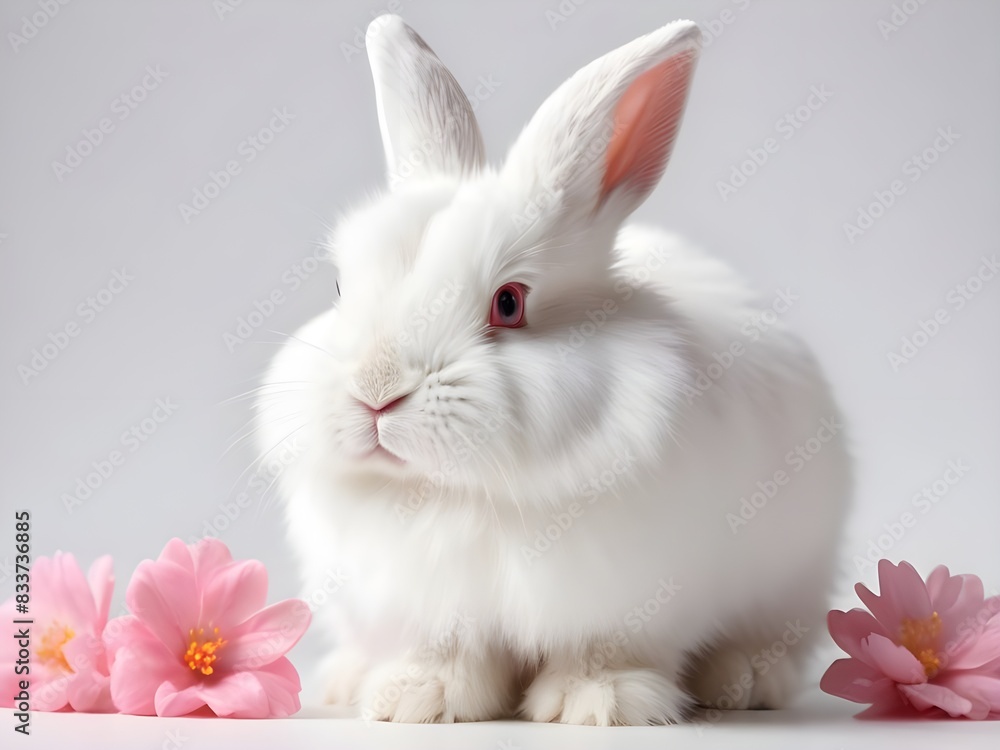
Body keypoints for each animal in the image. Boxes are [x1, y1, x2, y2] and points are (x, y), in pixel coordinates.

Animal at [256, 14, 852, 725]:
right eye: (342, 288)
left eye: (509, 303)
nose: (375, 395)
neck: (462, 494)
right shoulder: (426, 604)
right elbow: (444, 653)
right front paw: (415, 700)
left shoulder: (626, 601)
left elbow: (600, 651)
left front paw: (596, 704)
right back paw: (345, 679)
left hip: (790, 585)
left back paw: (743, 681)